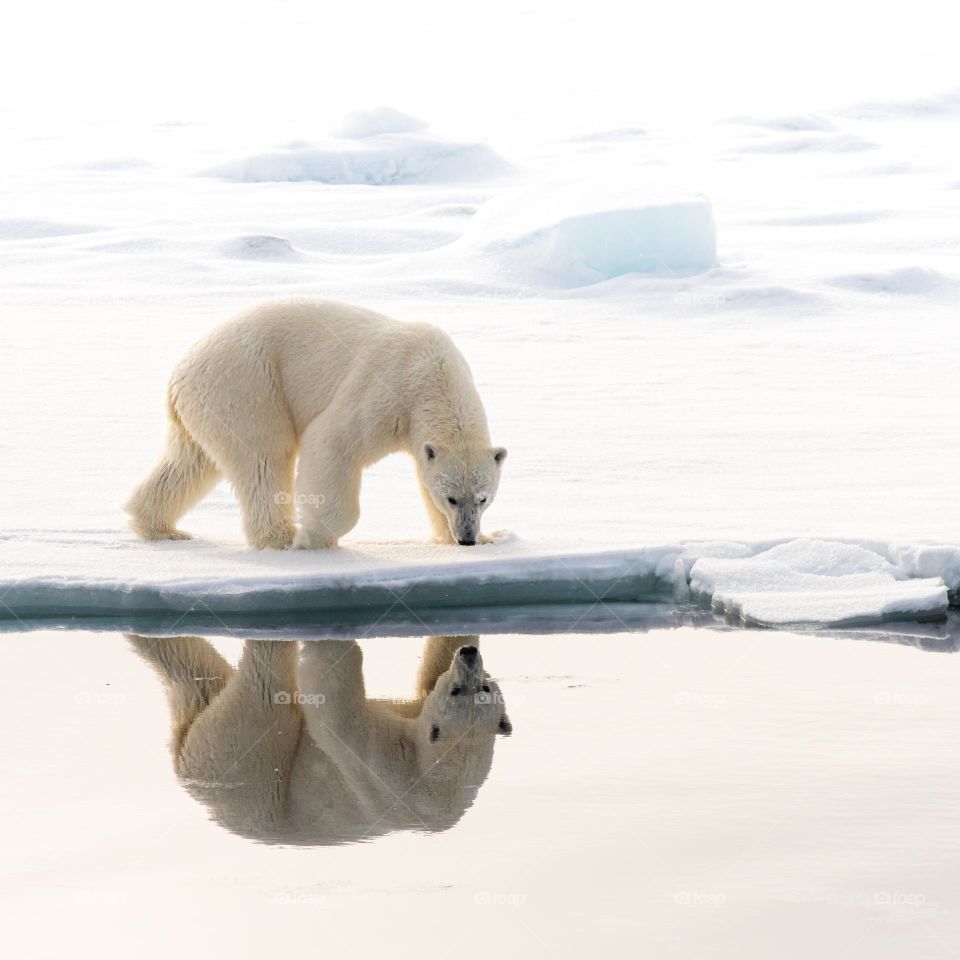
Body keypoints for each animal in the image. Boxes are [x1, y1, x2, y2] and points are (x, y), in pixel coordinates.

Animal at [125, 300, 510, 548]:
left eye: (482, 498)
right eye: (452, 498)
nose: (467, 538)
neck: (434, 374)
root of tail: (179, 373)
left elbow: (423, 473)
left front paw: (489, 537)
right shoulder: (388, 391)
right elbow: (332, 441)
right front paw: (315, 536)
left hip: (205, 407)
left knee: (188, 462)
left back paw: (160, 527)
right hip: (247, 384)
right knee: (264, 457)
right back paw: (281, 537)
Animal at [131, 632, 512, 844]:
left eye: (465, 689)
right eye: (478, 686)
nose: (469, 656)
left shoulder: (386, 764)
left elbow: (336, 710)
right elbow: (427, 679)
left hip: (252, 758)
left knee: (261, 685)